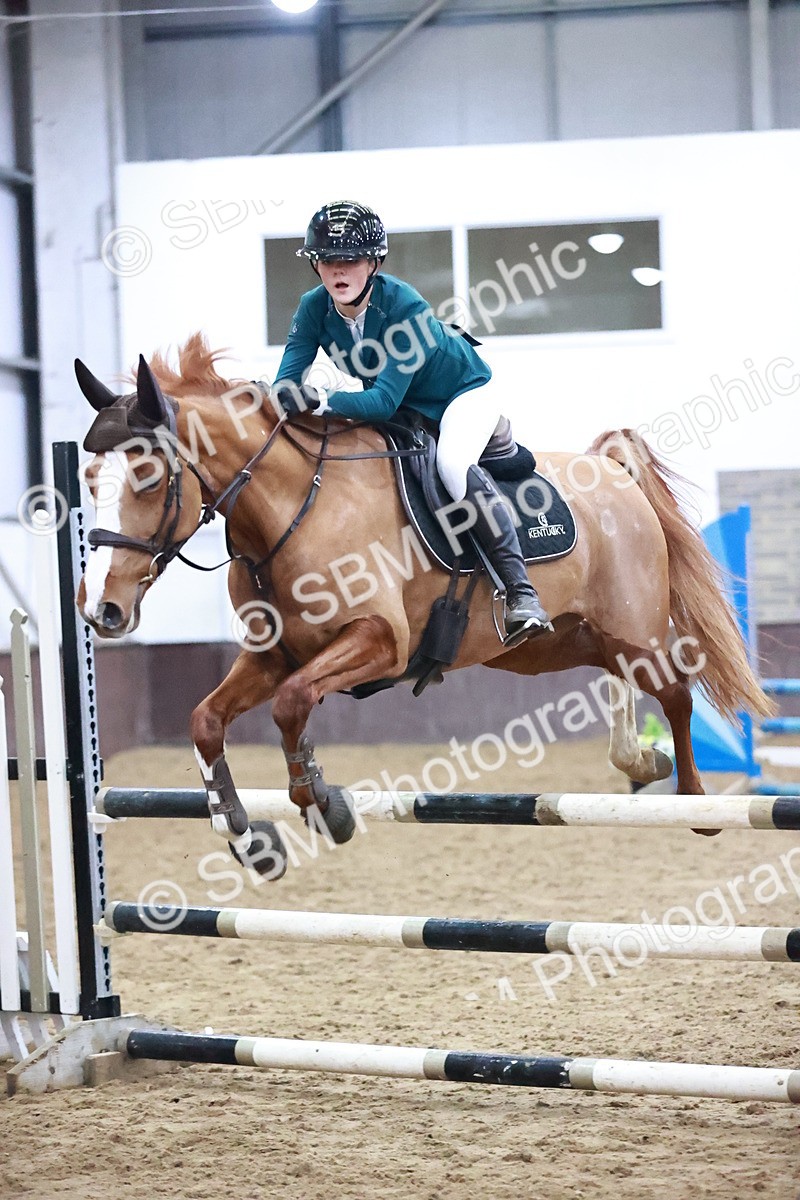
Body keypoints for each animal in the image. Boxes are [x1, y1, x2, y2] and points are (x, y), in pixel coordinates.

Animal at [74, 334, 772, 877]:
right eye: (88, 481)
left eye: (148, 477)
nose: (101, 610)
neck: (292, 505)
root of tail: (612, 471)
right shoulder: (275, 655)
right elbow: (206, 721)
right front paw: (246, 836)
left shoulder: (379, 642)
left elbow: (292, 703)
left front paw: (323, 803)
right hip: (560, 643)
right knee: (622, 683)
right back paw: (641, 760)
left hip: (632, 631)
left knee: (676, 692)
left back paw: (694, 800)